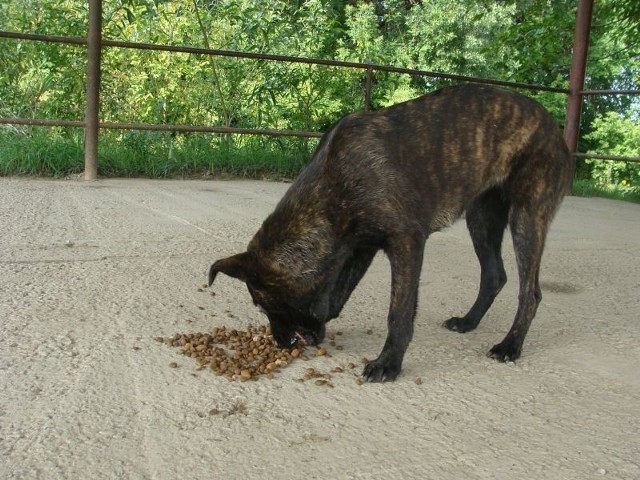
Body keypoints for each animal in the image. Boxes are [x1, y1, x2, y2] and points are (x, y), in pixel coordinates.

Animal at [208, 83, 572, 382]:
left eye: (262, 304)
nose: (281, 344)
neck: (333, 183)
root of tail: (554, 127)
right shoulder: (359, 247)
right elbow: (335, 297)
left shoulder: (406, 242)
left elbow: (399, 310)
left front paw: (389, 363)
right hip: (482, 216)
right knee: (494, 275)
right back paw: (469, 322)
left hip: (527, 216)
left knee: (530, 291)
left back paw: (511, 344)